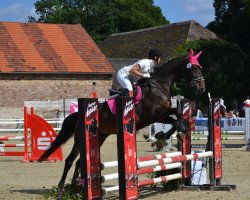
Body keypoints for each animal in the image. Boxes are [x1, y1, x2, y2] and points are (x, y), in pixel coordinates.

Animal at [37, 48, 205, 189]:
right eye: (193, 68)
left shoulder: (160, 115)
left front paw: (166, 134)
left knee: (79, 162)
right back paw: (62, 187)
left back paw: (77, 186)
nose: (202, 88)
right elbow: (177, 112)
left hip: (100, 137)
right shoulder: (155, 113)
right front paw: (172, 132)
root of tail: (79, 115)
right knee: (70, 160)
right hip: (80, 139)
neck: (160, 85)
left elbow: (175, 119)